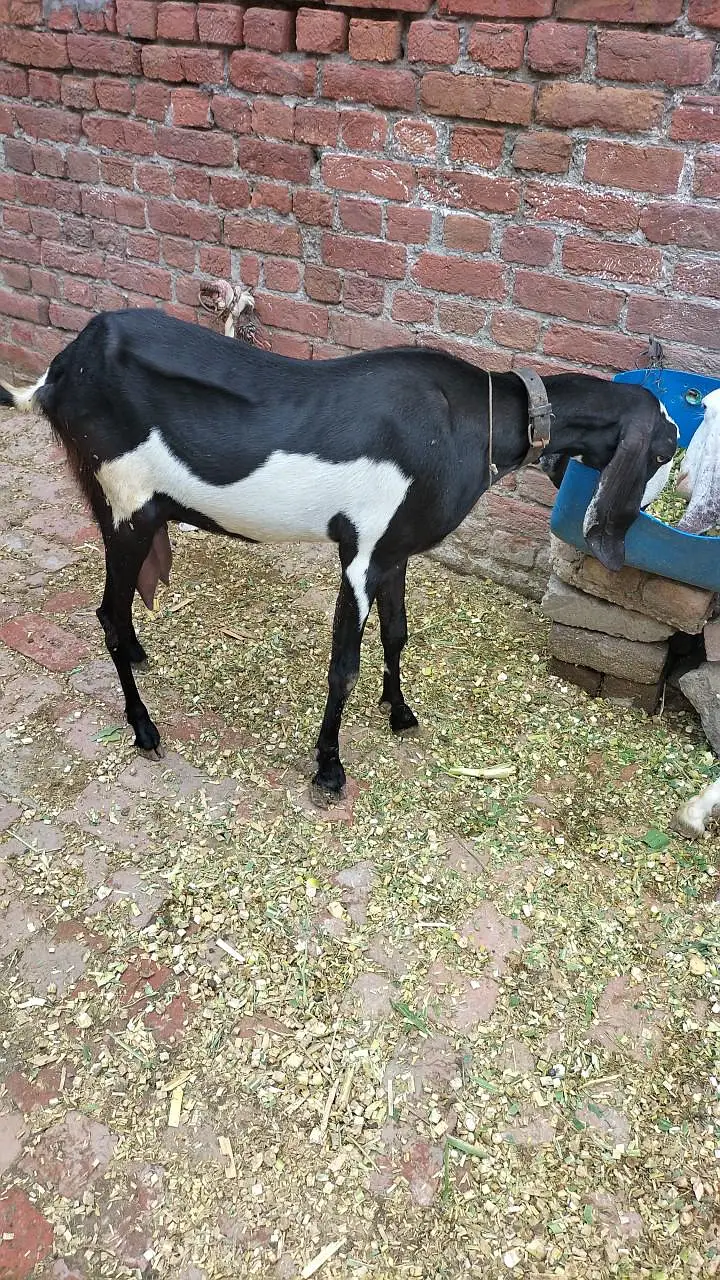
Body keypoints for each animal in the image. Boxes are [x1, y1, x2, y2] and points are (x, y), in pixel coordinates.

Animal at [0, 309, 677, 802]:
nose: (656, 507)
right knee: (109, 617)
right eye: (666, 448)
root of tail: (62, 370)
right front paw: (328, 768)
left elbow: (398, 633)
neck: (469, 420)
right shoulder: (361, 552)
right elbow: (343, 666)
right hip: (129, 507)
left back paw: (142, 658)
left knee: (118, 610)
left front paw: (400, 712)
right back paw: (144, 728)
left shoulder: (395, 550)